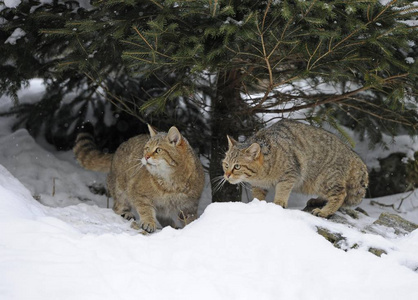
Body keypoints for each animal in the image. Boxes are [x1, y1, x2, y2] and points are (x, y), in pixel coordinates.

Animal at [76, 123, 207, 233]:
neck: (171, 182)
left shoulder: (190, 206)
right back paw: (126, 213)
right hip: (120, 189)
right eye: (147, 148)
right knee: (117, 206)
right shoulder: (138, 193)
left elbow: (190, 219)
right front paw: (149, 222)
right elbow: (145, 209)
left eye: (158, 150)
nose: (146, 156)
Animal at [222, 119, 370, 218]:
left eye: (237, 166)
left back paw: (324, 211)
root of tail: (354, 156)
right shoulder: (258, 185)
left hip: (325, 179)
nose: (227, 175)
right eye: (226, 165)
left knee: (340, 194)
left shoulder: (290, 173)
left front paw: (278, 202)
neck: (261, 175)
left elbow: (283, 189)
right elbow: (258, 195)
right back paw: (318, 200)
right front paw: (258, 204)